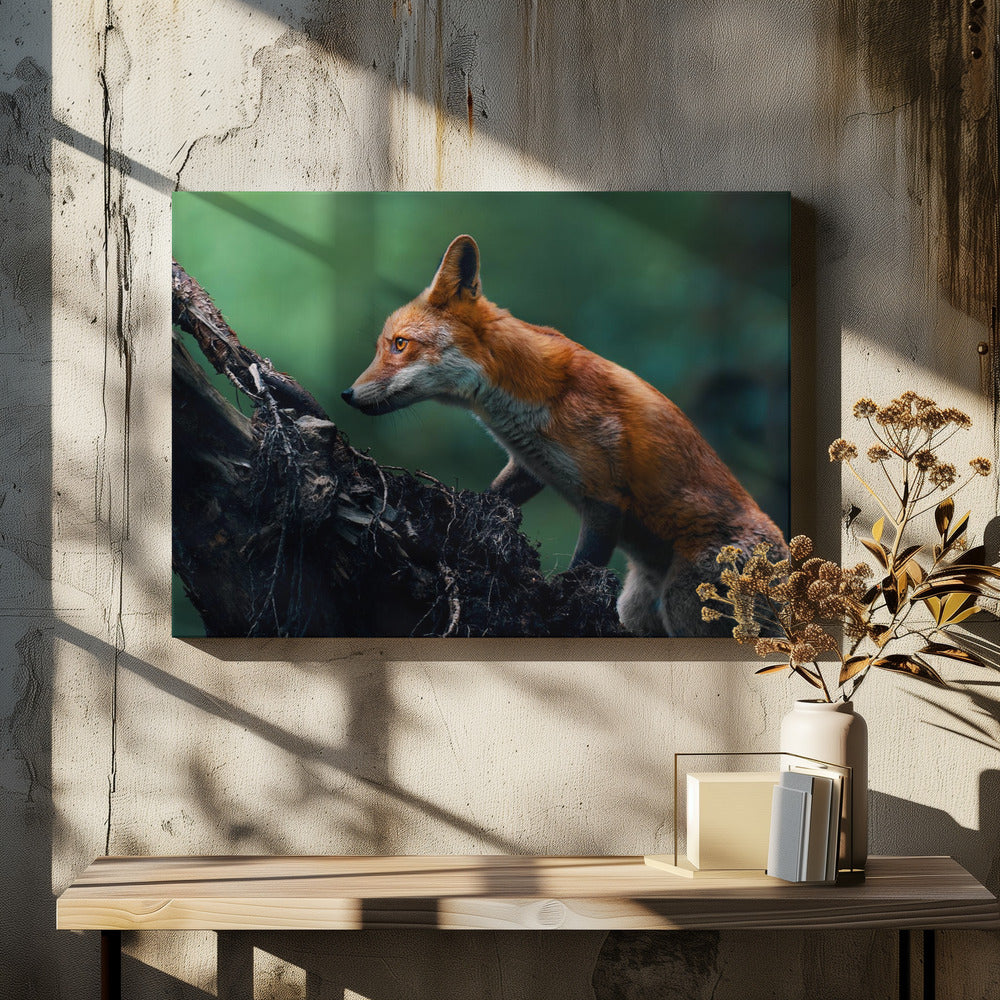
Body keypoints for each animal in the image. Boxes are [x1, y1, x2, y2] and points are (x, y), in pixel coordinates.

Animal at [341, 234, 787, 636]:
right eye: (383, 346)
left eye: (400, 345)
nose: (347, 394)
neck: (529, 394)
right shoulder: (531, 463)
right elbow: (494, 497)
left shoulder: (605, 497)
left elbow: (582, 569)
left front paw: (566, 606)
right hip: (638, 610)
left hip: (683, 606)